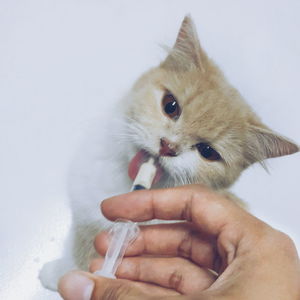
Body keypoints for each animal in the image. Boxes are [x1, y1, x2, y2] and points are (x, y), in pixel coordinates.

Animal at [38, 15, 298, 290]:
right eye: (170, 106)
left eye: (207, 151)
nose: (168, 146)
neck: (121, 183)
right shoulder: (83, 219)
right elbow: (77, 246)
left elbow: (83, 259)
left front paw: (67, 277)